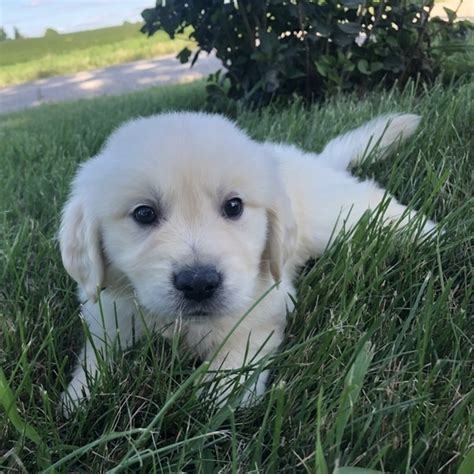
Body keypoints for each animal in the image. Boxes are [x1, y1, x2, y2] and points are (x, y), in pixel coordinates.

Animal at [60, 110, 436, 412]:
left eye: (234, 206)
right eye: (144, 213)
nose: (199, 283)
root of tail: (316, 160)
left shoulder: (268, 300)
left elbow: (242, 342)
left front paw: (220, 393)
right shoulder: (108, 314)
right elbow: (97, 354)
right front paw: (79, 397)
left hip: (338, 217)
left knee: (374, 205)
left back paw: (428, 232)